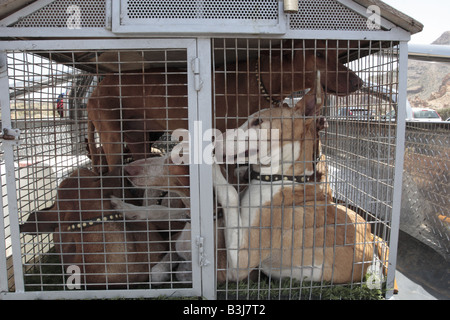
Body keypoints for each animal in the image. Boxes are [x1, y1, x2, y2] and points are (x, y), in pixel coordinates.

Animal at [87, 40, 362, 172]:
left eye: (336, 54)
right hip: (112, 136)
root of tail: (96, 89)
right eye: (318, 53)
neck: (262, 80)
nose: (358, 82)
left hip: (138, 138)